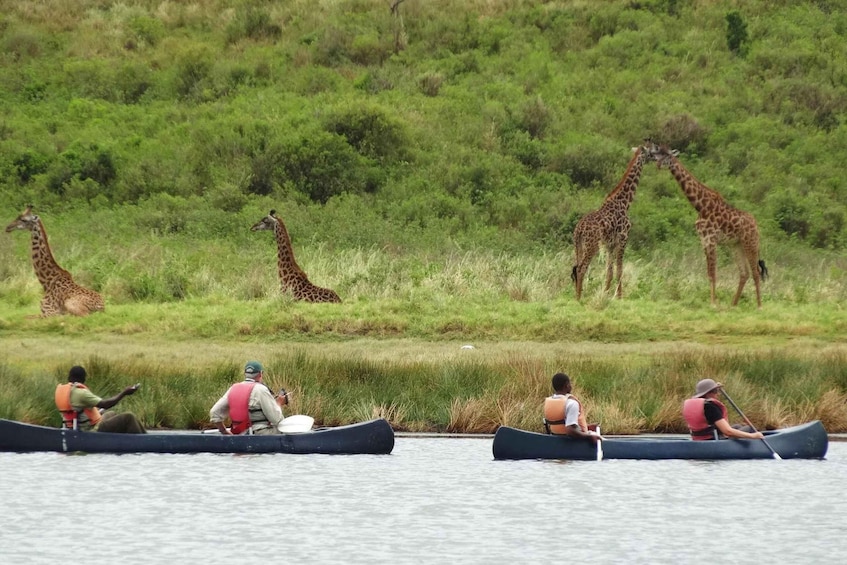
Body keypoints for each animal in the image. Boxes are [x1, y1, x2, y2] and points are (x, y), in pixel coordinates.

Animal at [572, 144, 652, 300]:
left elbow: (609, 271)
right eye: (650, 152)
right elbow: (619, 270)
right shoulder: (623, 239)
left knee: (576, 267)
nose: (655, 158)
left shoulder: (610, 244)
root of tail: (579, 229)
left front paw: (606, 294)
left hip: (579, 244)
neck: (625, 202)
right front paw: (619, 297)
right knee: (581, 268)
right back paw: (579, 298)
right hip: (592, 245)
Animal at [644, 141, 772, 308]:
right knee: (744, 273)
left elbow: (713, 273)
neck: (700, 205)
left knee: (756, 272)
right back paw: (733, 304)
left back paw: (759, 306)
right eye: (658, 154)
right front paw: (714, 302)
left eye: (668, 156)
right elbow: (709, 273)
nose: (658, 165)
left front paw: (713, 303)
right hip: (736, 245)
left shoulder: (710, 239)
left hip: (750, 243)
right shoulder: (704, 240)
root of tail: (756, 226)